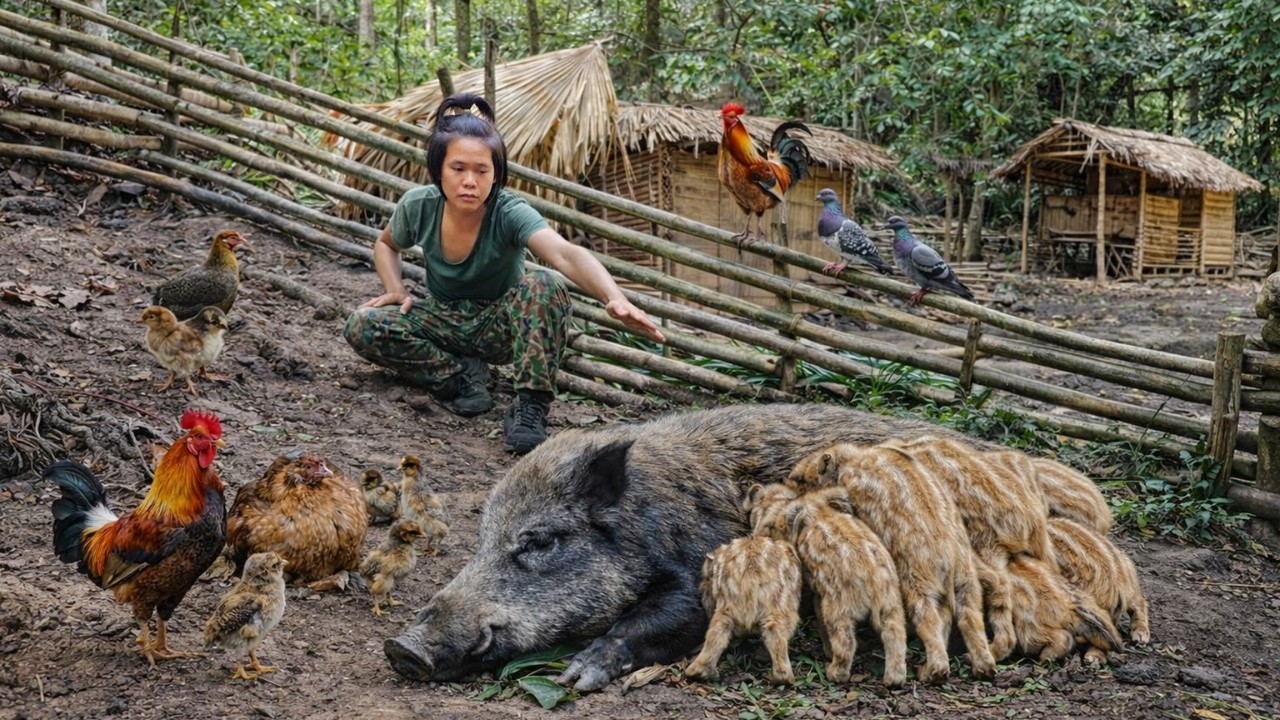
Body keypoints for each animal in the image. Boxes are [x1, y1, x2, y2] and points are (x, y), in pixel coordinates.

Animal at [383, 403, 984, 691]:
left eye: (540, 540)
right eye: (482, 538)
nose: (401, 648)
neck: (645, 517)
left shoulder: (703, 566)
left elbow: (658, 618)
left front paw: (575, 678)